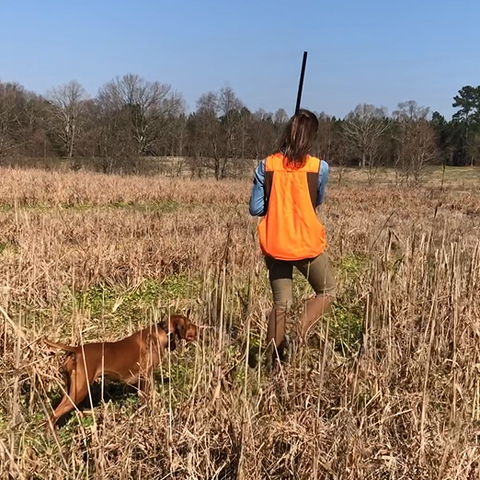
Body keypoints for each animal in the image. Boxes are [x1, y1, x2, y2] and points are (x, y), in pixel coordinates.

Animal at [43, 314, 197, 430]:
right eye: (189, 324)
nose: (198, 329)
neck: (161, 331)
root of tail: (76, 350)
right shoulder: (146, 376)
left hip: (71, 388)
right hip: (79, 390)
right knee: (53, 415)